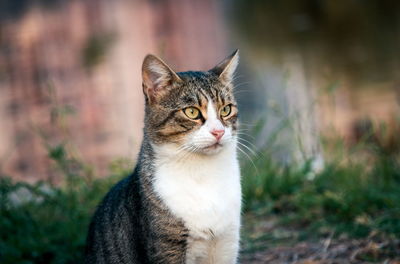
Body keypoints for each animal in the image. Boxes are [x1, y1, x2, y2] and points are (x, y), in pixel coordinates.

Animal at [85, 50, 241, 262]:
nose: (219, 132)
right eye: (191, 112)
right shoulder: (167, 247)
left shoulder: (227, 242)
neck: (204, 173)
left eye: (226, 109)